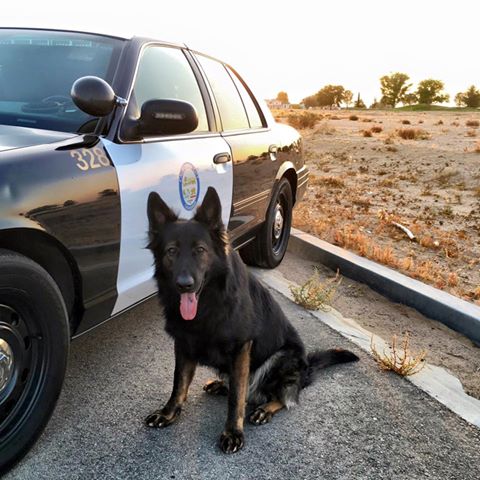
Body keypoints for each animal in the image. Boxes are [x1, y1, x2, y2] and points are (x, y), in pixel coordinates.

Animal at [145, 186, 358, 454]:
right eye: (171, 251)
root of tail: (306, 368)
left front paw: (233, 432)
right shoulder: (184, 344)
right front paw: (169, 413)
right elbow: (179, 384)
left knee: (282, 396)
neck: (209, 302)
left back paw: (265, 408)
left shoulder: (241, 348)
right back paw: (221, 385)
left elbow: (237, 397)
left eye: (200, 250)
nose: (185, 285)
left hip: (282, 358)